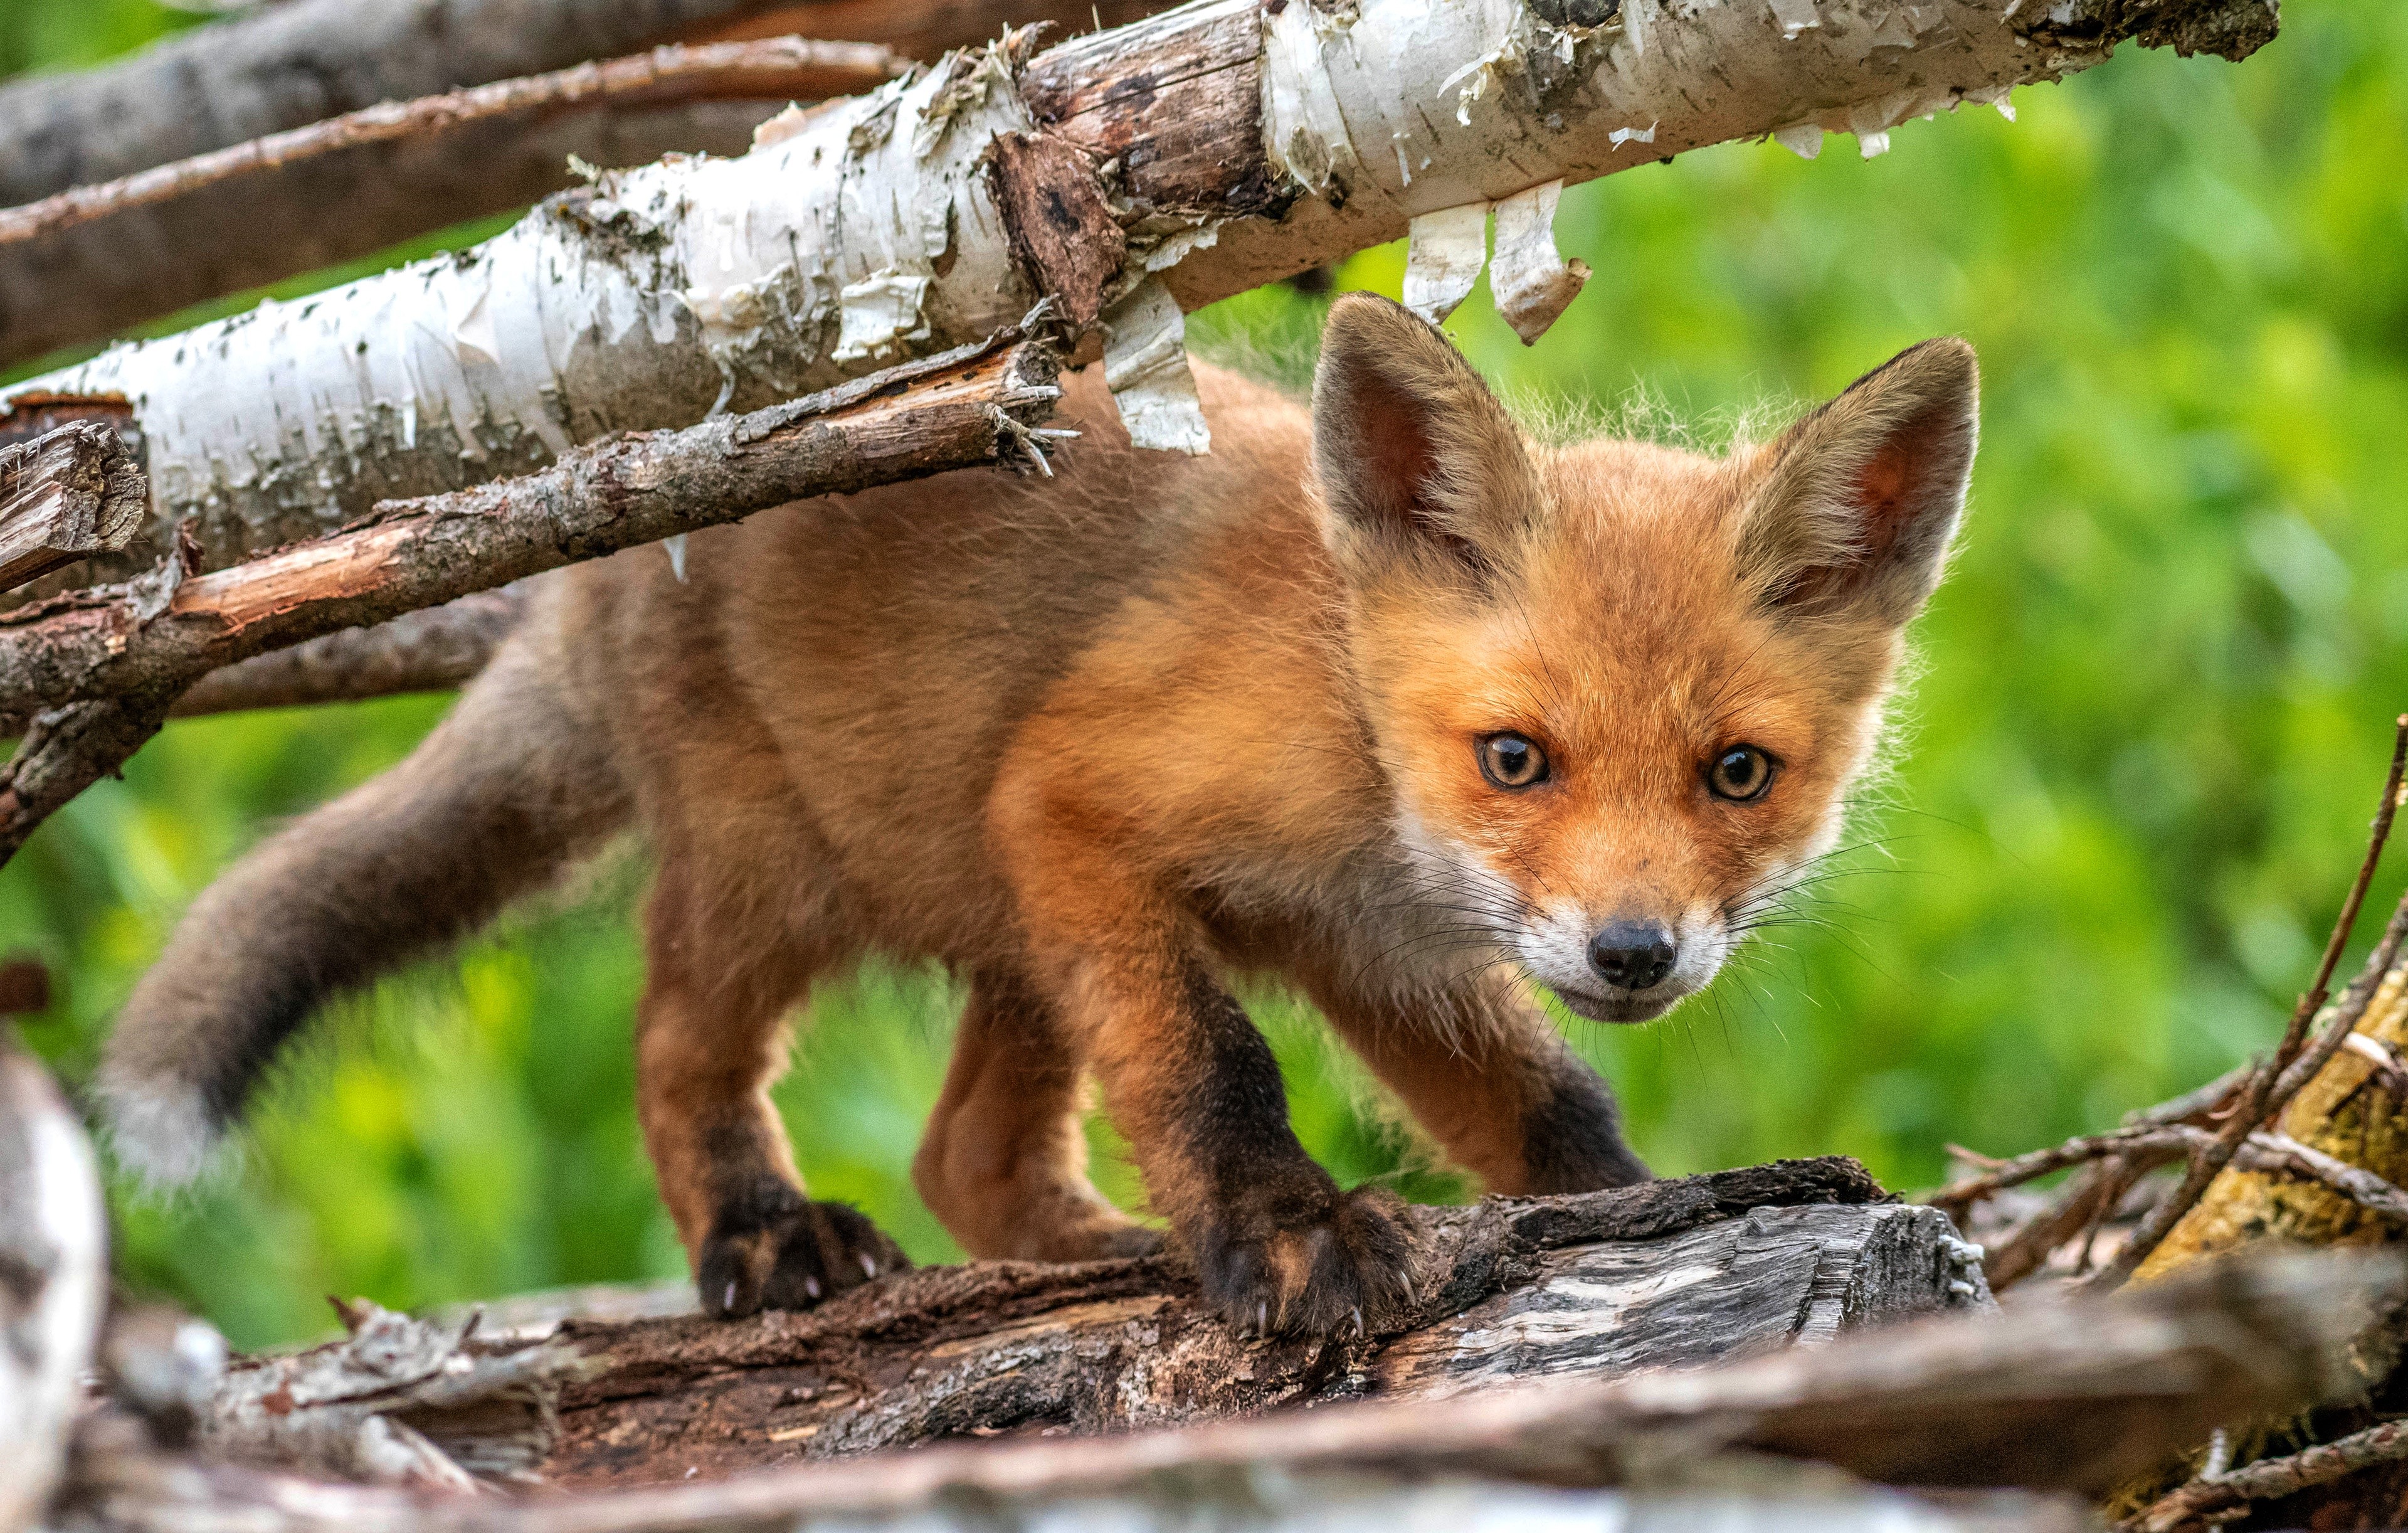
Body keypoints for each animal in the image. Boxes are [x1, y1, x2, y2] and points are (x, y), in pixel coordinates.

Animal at [98, 294, 1976, 1335]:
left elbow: (1547, 1103)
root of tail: (590, 562)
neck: (1350, 735)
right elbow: (1212, 1062)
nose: (1636, 951)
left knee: (970, 1159)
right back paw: (767, 1233)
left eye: (1738, 773)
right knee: (680, 1053)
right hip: (789, 869)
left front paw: (1649, 1211)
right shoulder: (1079, 802)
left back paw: (1092, 1248)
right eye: (1516, 758)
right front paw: (1285, 1234)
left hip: (992, 909)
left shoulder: (1374, 948)